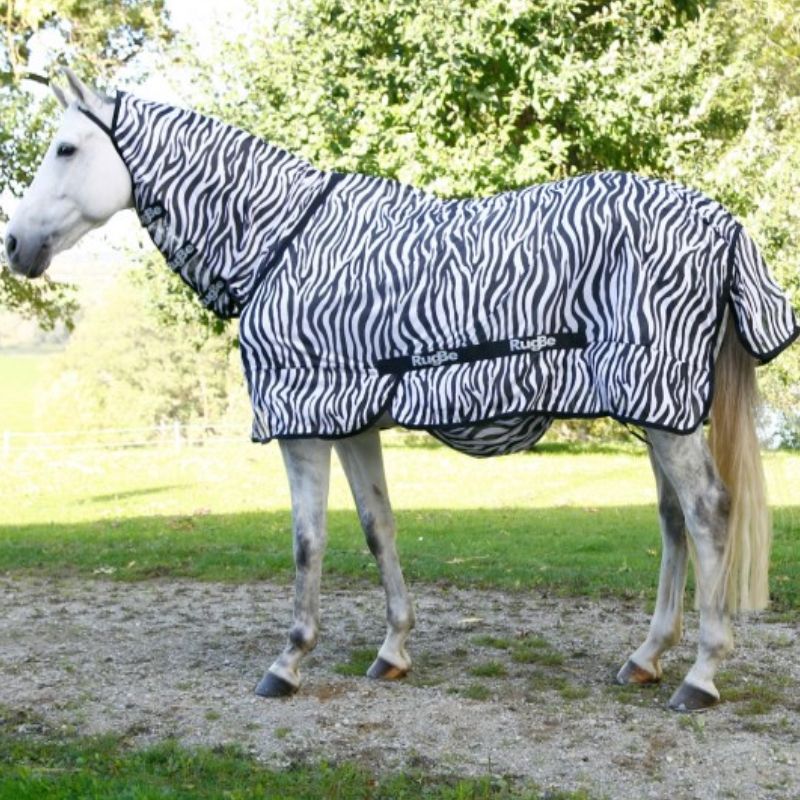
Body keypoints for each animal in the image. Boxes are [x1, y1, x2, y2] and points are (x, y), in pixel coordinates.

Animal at [5, 69, 798, 711]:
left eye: (66, 149)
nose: (14, 245)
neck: (282, 243)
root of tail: (723, 223)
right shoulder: (352, 419)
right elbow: (377, 525)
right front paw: (392, 651)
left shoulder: (304, 422)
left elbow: (308, 540)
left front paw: (288, 661)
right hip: (653, 406)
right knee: (673, 520)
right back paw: (646, 657)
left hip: (663, 410)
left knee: (707, 512)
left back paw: (701, 676)